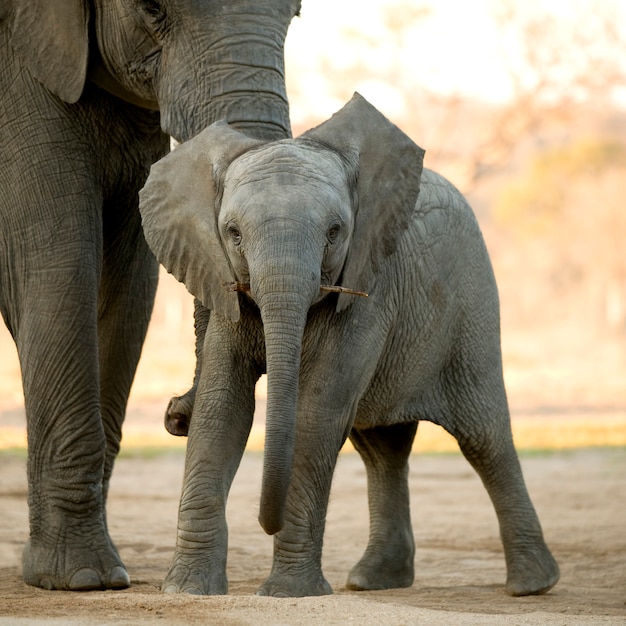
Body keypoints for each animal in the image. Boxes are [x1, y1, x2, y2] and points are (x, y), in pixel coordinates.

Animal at [0, 0, 300, 588]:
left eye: (296, 13)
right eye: (152, 9)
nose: (175, 414)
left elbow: (128, 282)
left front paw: (88, 573)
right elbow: (56, 259)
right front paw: (81, 578)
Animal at [139, 91, 560, 596]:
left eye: (335, 231)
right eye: (234, 234)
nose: (171, 415)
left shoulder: (369, 286)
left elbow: (317, 412)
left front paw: (288, 594)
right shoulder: (227, 287)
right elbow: (223, 410)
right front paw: (187, 589)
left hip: (472, 305)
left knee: (485, 437)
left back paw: (532, 585)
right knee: (382, 448)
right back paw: (374, 581)